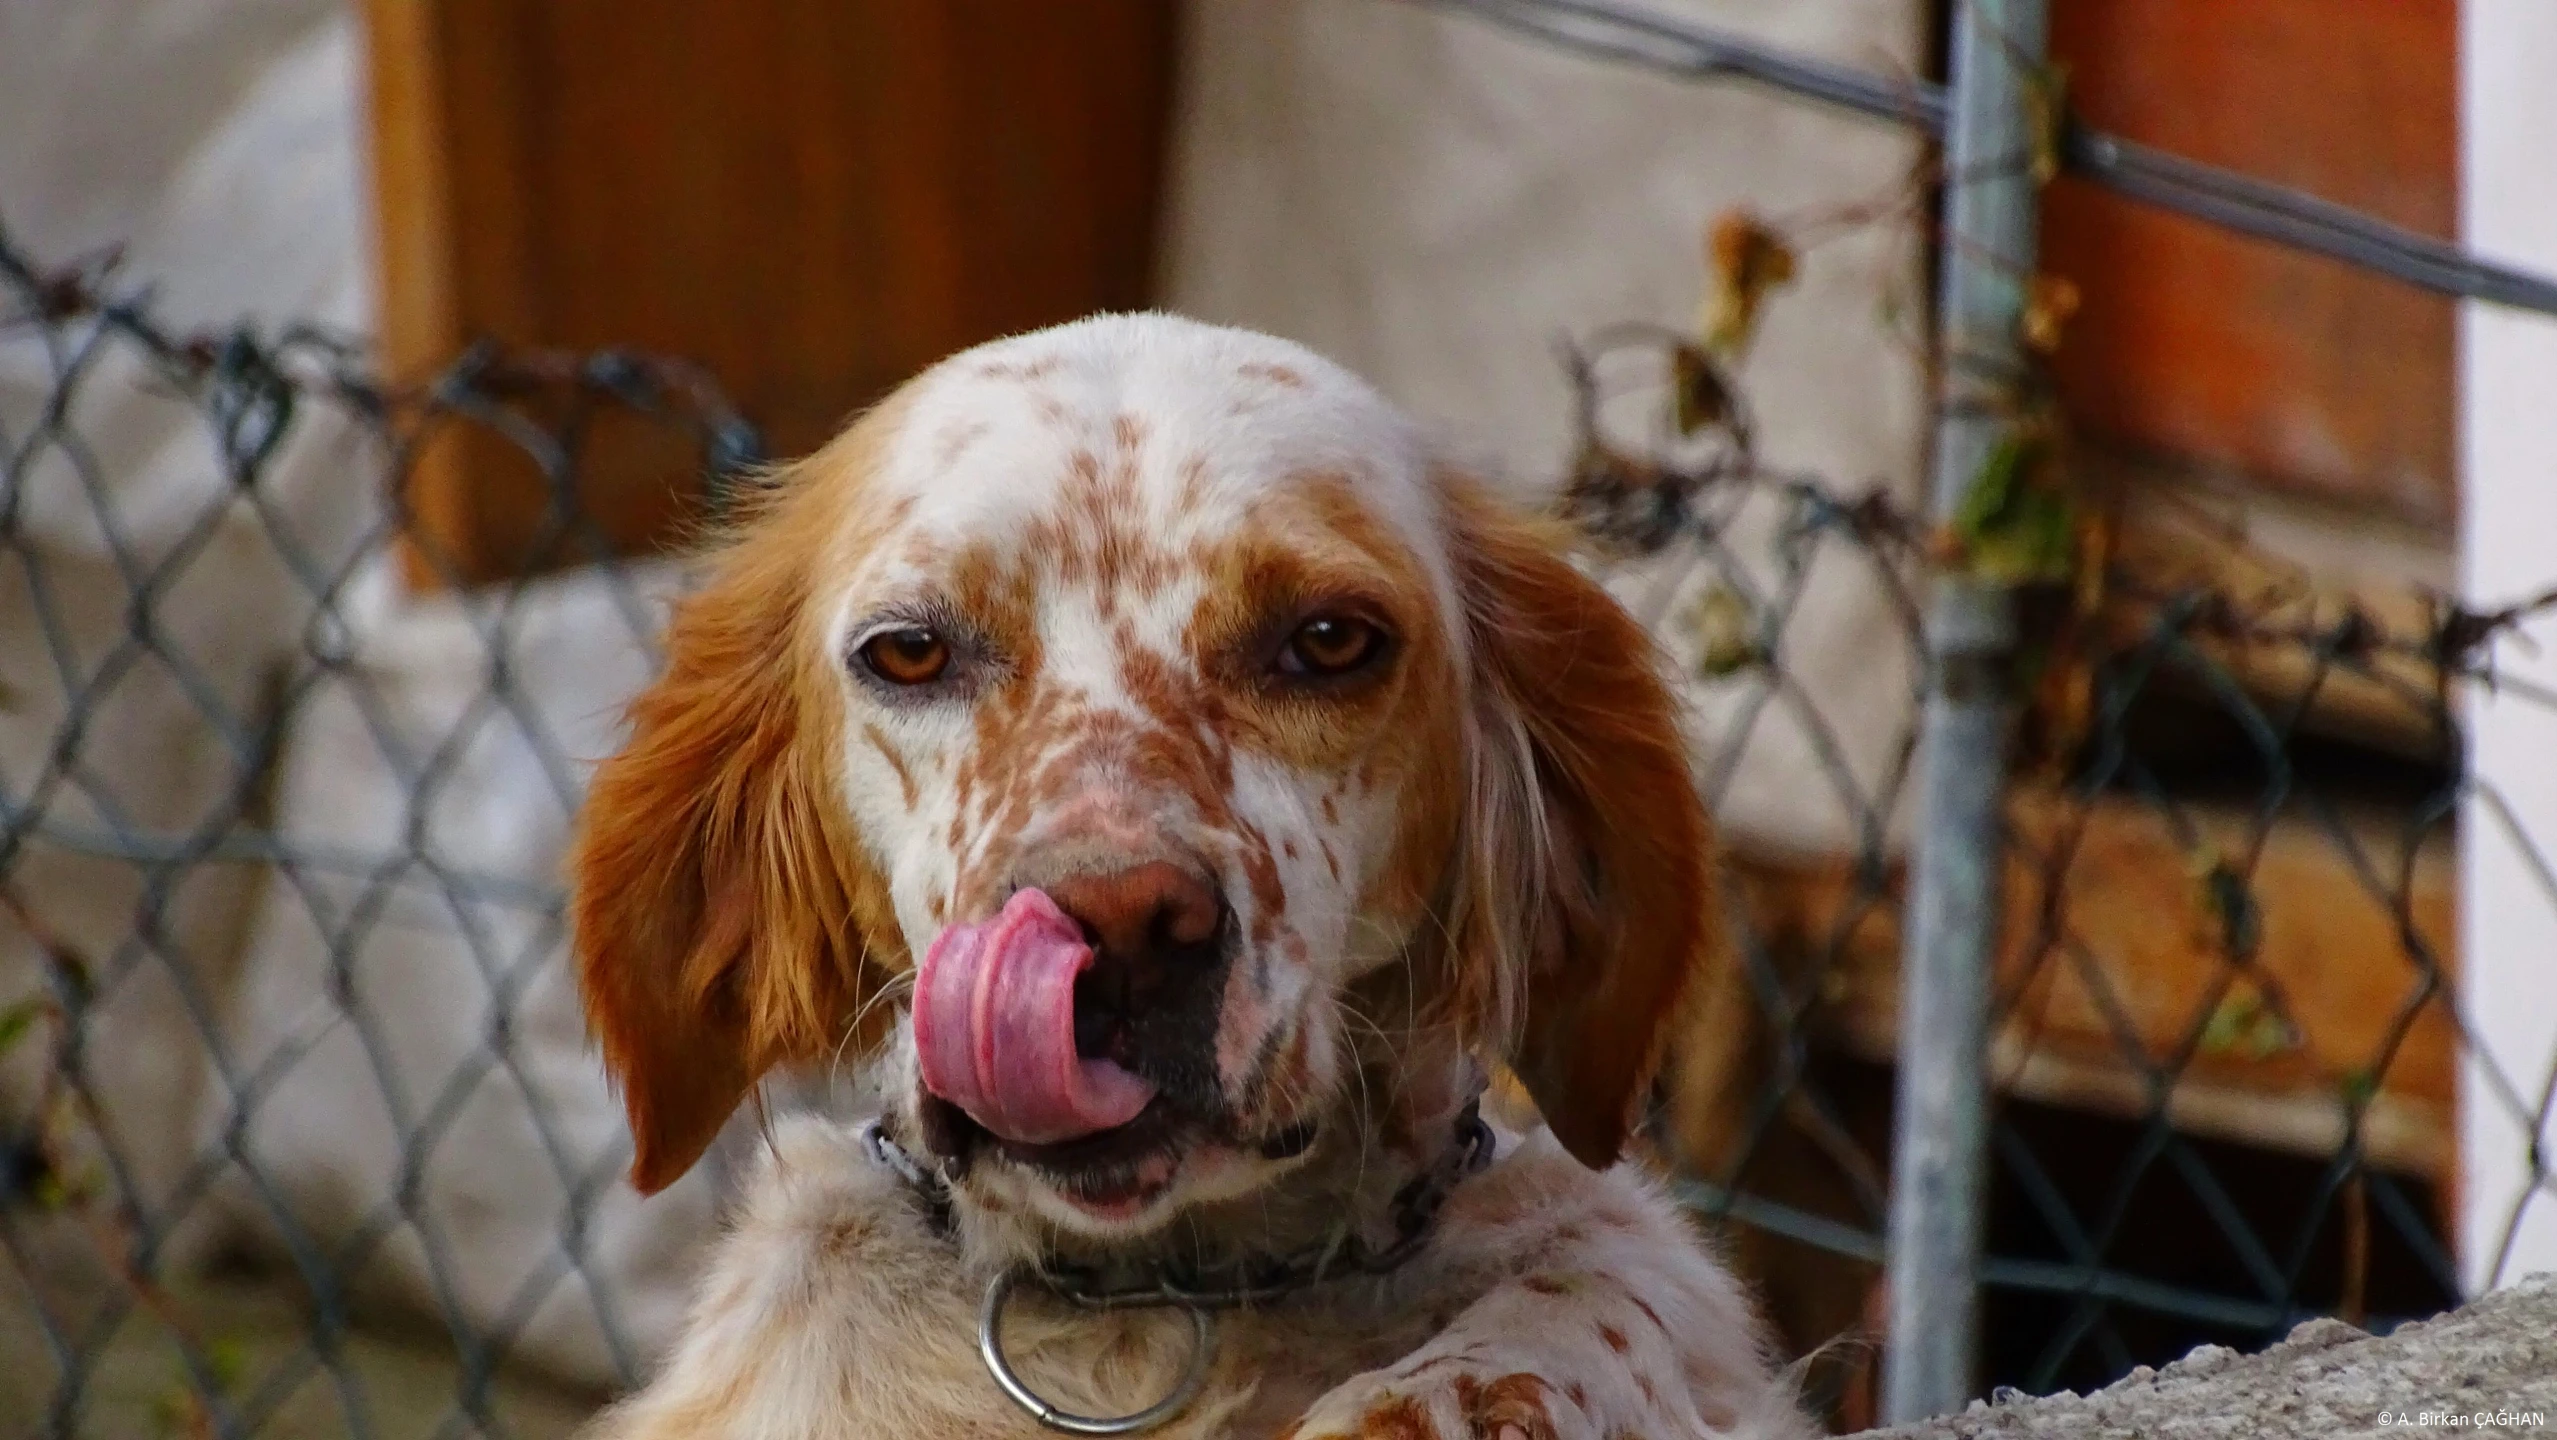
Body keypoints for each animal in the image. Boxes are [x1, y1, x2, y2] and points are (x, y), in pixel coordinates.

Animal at [565, 315, 1800, 1440]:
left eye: (1328, 640)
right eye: (908, 650)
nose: (1119, 932)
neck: (1159, 1305)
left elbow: (1578, 1298)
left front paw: (1455, 1387)